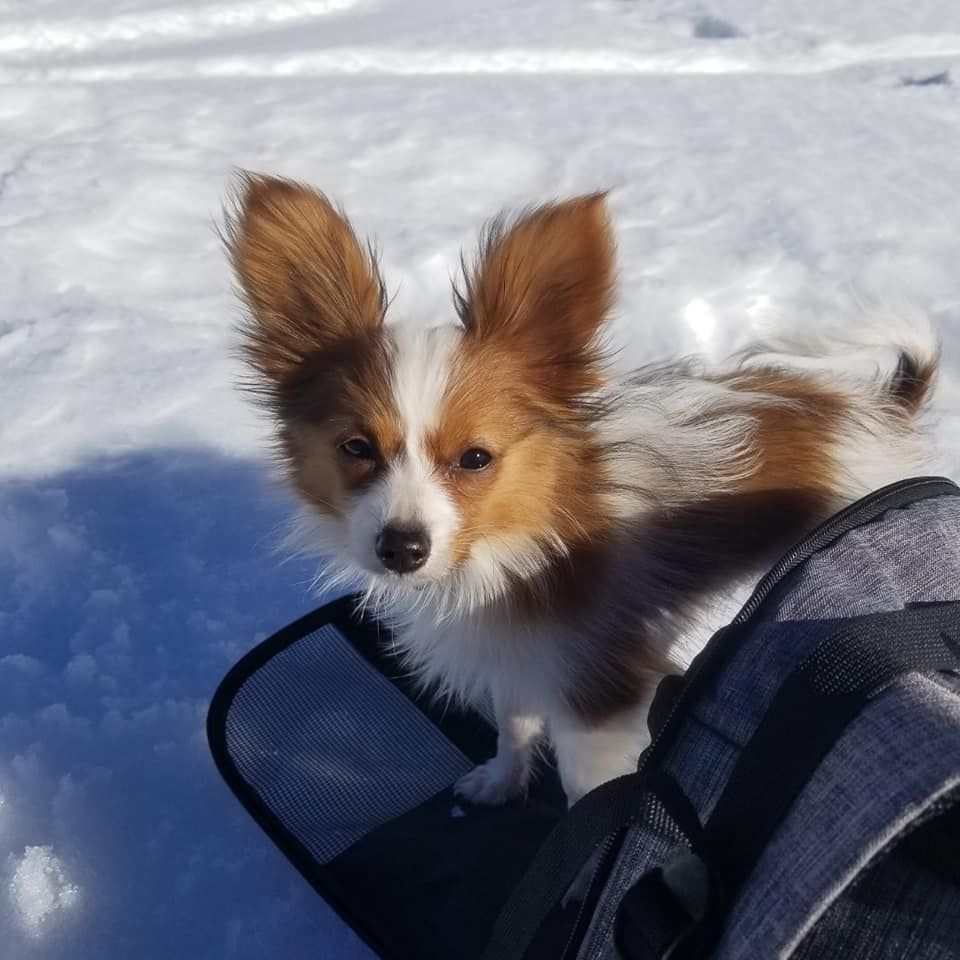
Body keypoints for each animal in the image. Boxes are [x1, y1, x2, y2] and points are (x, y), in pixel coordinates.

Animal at [223, 174, 928, 808]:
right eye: (356, 449)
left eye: (475, 458)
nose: (401, 547)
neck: (514, 543)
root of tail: (882, 408)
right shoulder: (517, 657)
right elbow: (514, 727)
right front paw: (500, 785)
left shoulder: (597, 702)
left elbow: (584, 795)